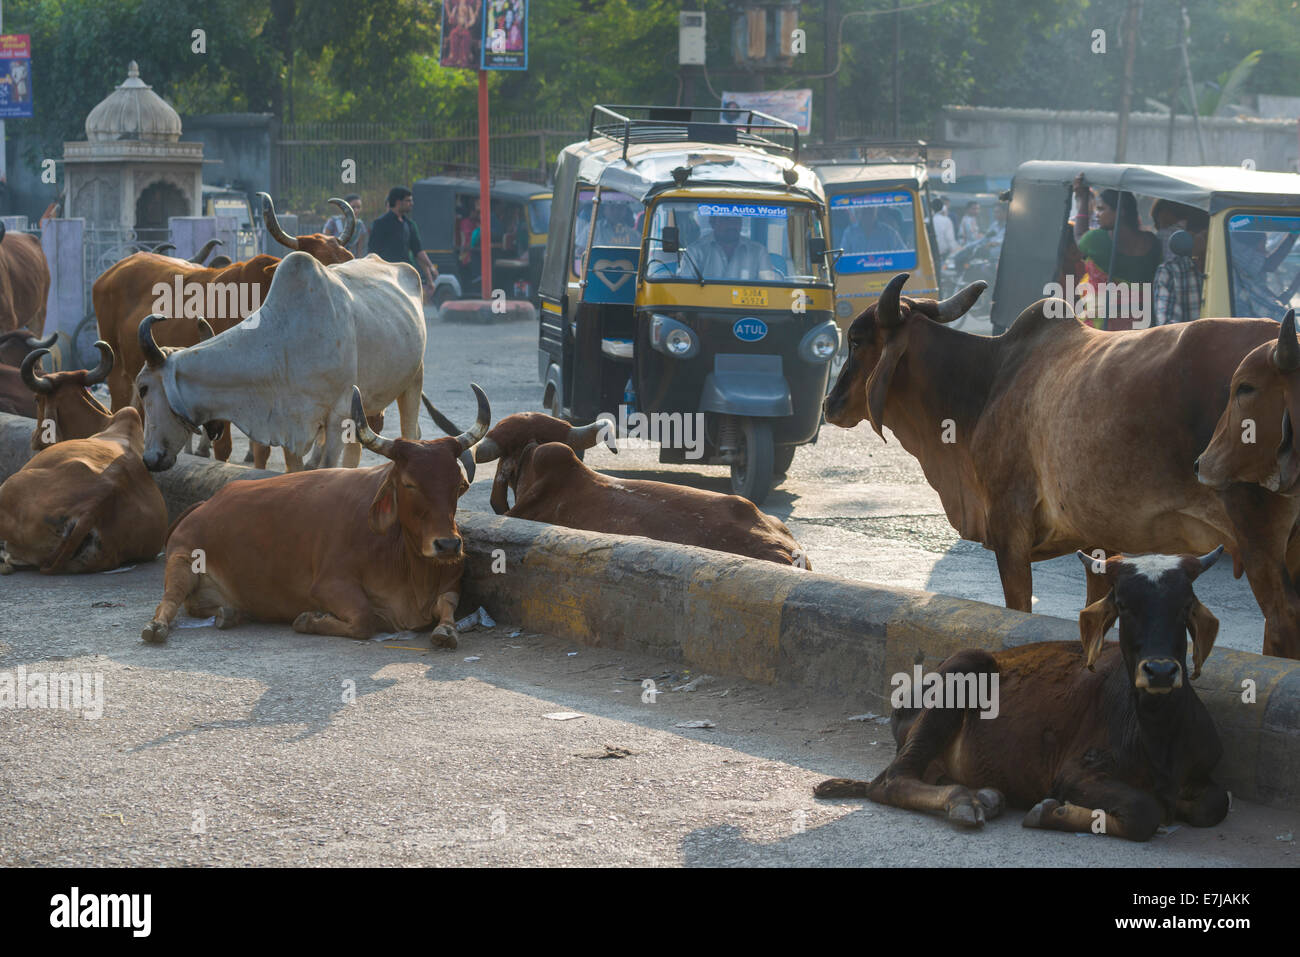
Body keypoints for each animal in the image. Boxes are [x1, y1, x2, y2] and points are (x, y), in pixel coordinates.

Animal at [134, 251, 426, 473]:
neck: (282, 347)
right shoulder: (289, 425)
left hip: (413, 381)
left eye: (143, 388)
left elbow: (327, 467)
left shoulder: (339, 416)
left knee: (410, 431)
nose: (149, 459)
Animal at [141, 385, 490, 645]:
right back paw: (157, 627)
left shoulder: (451, 583)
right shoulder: (328, 585)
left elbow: (447, 608)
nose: (448, 545)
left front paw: (446, 631)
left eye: (459, 484)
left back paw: (231, 613)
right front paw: (309, 619)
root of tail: (205, 503)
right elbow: (365, 620)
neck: (405, 558)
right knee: (169, 601)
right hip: (183, 559)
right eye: (409, 483)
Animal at [814, 548, 1230, 842]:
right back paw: (964, 801)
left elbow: (1216, 804)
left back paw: (986, 797)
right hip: (965, 666)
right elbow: (1145, 811)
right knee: (890, 781)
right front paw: (1051, 812)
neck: (1159, 735)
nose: (1160, 671)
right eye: (1125, 605)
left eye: (1184, 606)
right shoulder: (1074, 773)